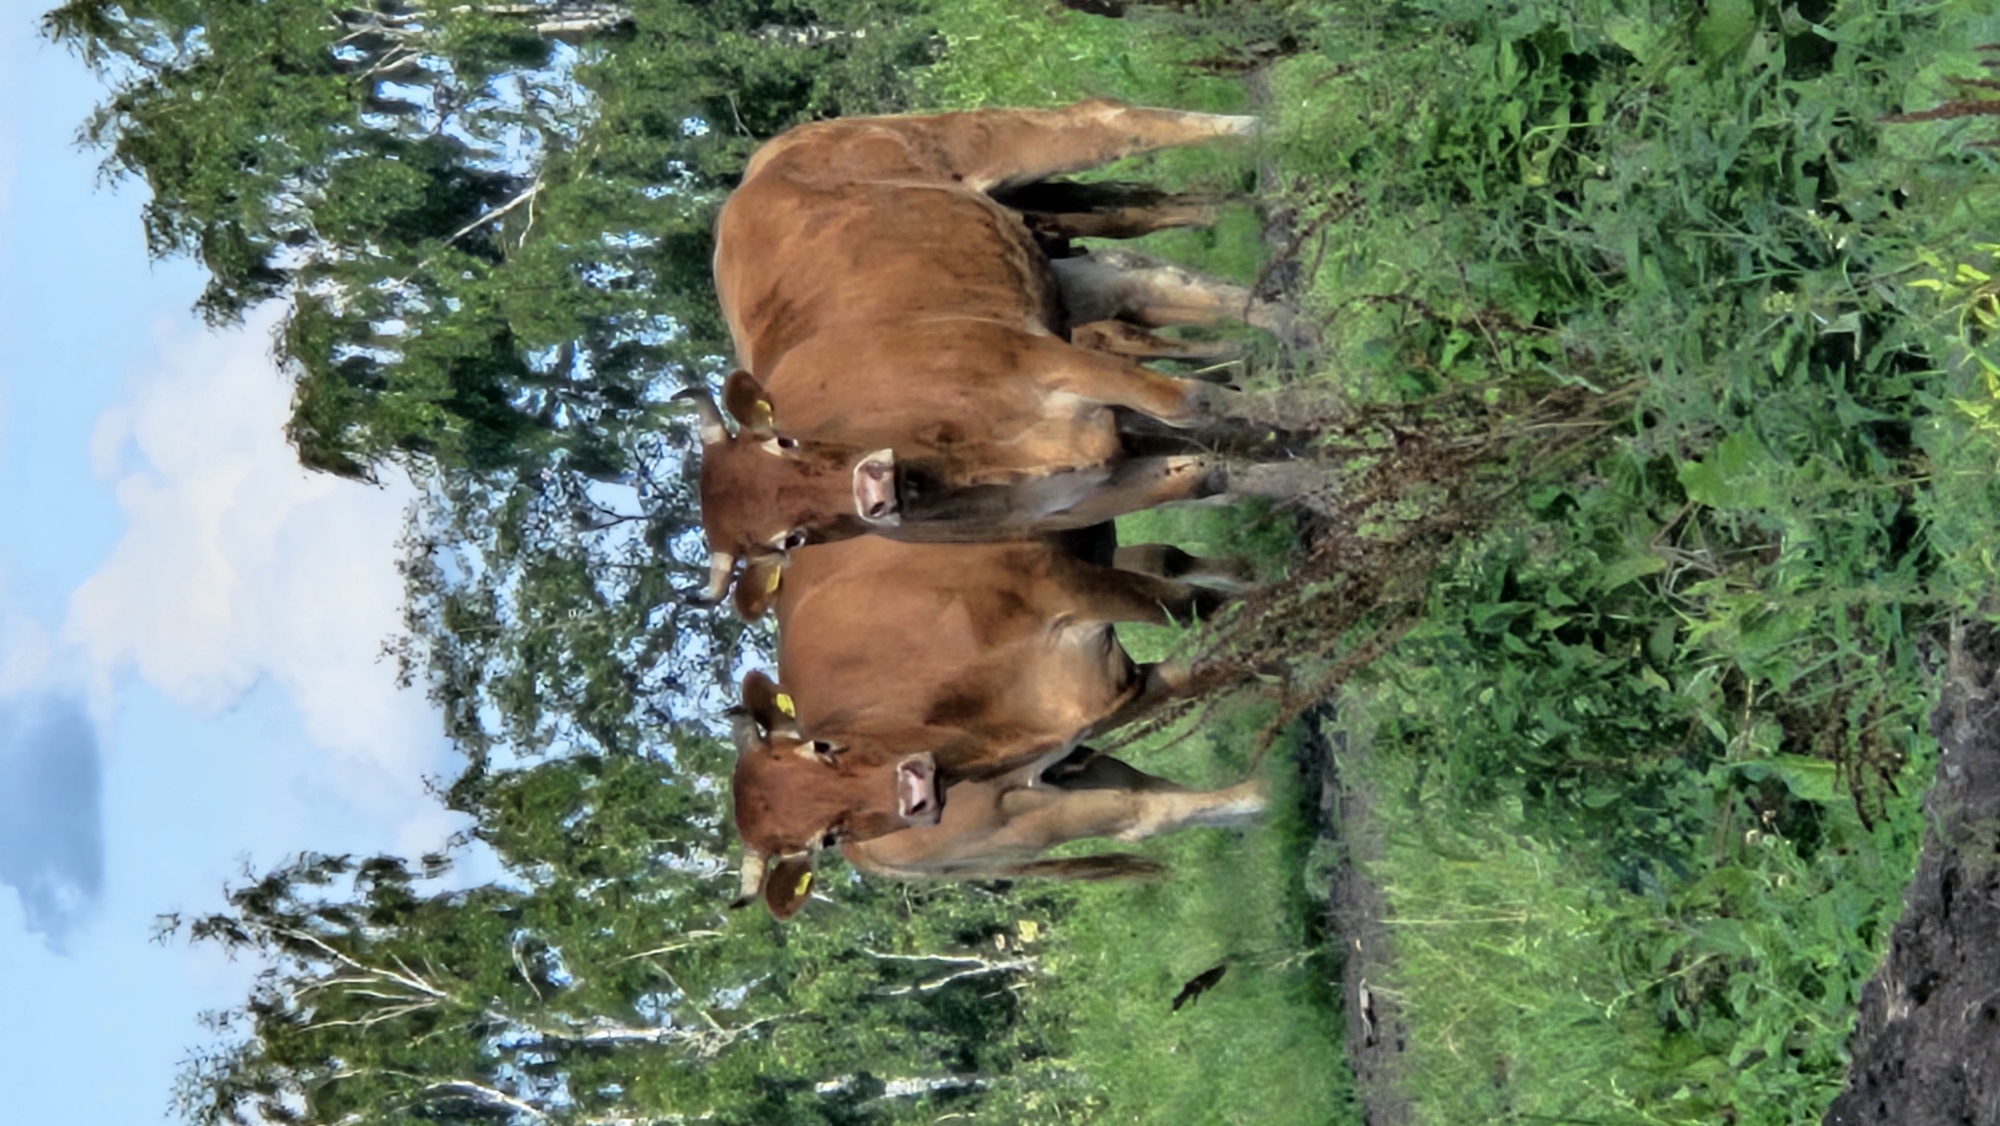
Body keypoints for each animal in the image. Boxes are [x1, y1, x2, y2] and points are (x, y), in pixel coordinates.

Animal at [685, 98, 1310, 616]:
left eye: (784, 441)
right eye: (788, 539)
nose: (873, 489)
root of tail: (765, 160)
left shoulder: (1053, 361)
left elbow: (1195, 403)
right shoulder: (1096, 483)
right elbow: (1216, 468)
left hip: (990, 142)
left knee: (1112, 121)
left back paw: (1277, 131)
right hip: (1053, 269)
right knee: (1148, 276)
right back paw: (1281, 308)